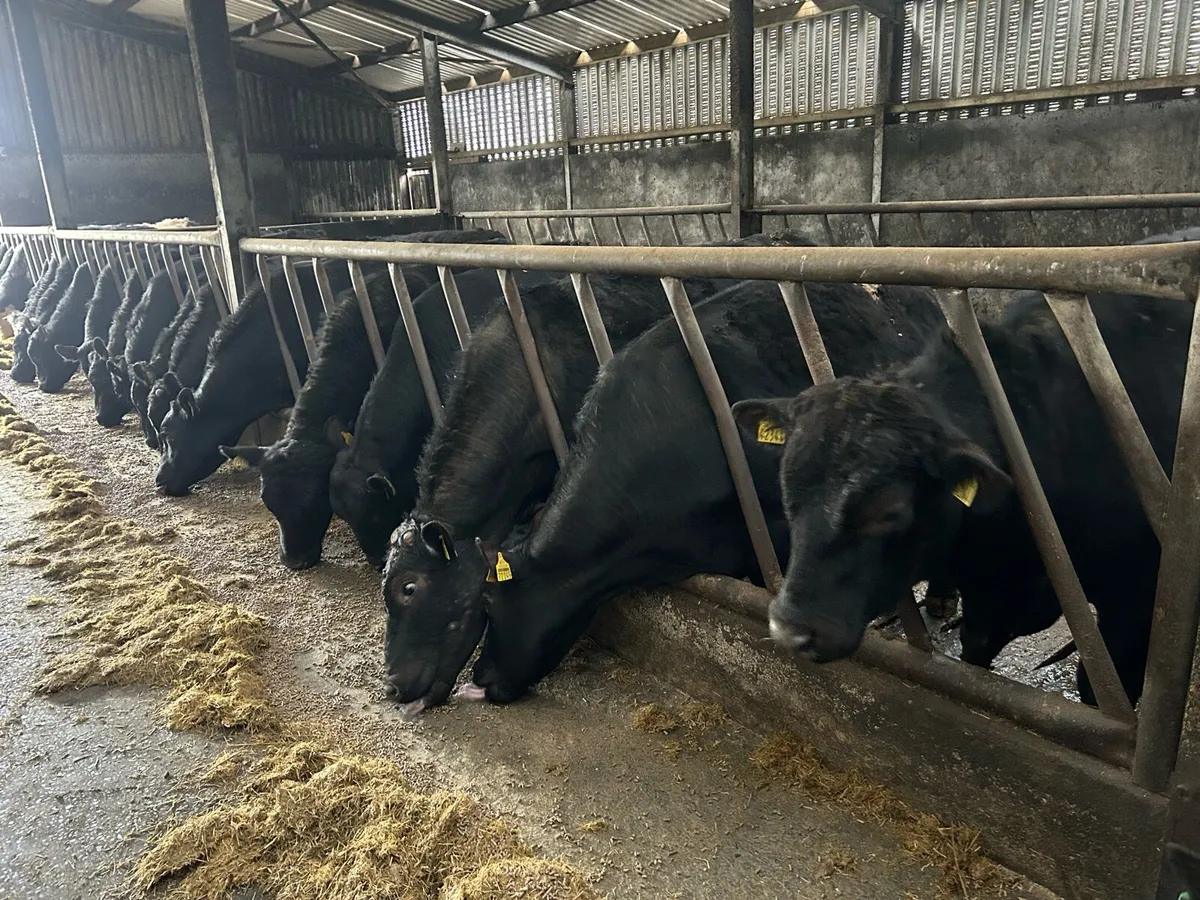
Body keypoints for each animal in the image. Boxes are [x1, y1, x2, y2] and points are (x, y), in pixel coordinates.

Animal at [734, 289, 1187, 706]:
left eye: (891, 510)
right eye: (786, 486)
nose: (789, 630)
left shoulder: (1135, 604)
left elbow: (1096, 688)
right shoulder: (990, 596)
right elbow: (976, 652)